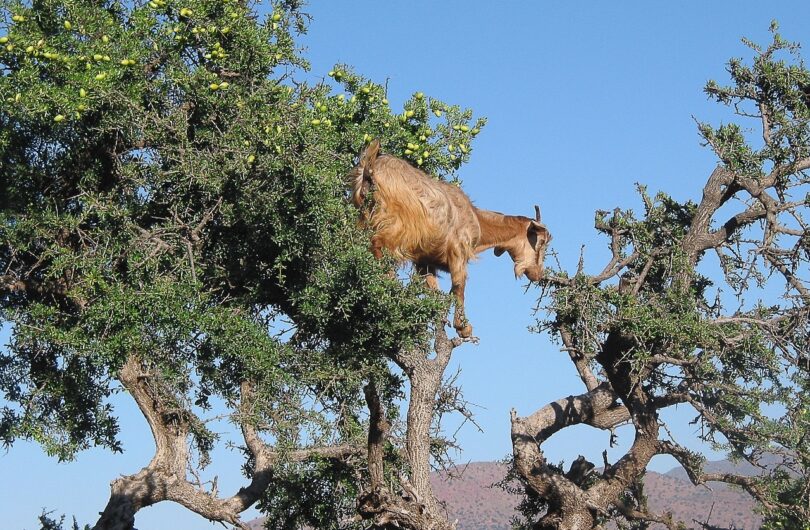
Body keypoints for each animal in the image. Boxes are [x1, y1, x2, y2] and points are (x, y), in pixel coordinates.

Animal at [348, 139, 548, 338]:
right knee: (377, 243)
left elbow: (433, 287)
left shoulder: (424, 260)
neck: (477, 220)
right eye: (541, 242)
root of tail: (370, 167)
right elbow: (459, 286)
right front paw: (463, 327)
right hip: (397, 227)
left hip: (362, 218)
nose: (538, 274)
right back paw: (390, 281)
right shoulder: (458, 251)